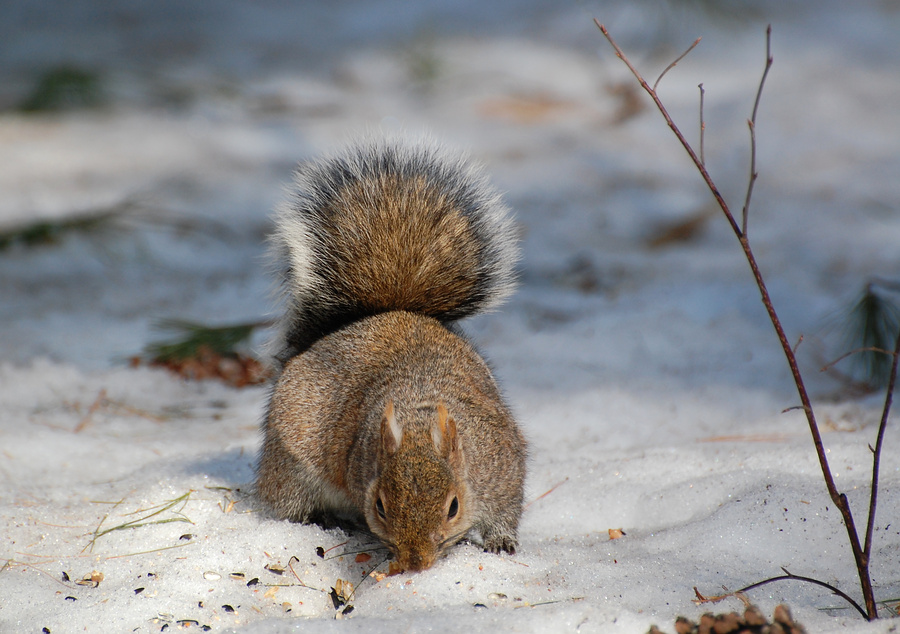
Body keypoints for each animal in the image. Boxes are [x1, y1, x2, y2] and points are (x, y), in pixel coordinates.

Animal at [255, 139, 528, 572]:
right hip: (290, 467)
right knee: (290, 504)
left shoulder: (501, 467)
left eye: (453, 507)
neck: (417, 414)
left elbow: (505, 510)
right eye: (380, 506)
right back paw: (322, 517)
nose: (415, 563)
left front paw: (502, 541)